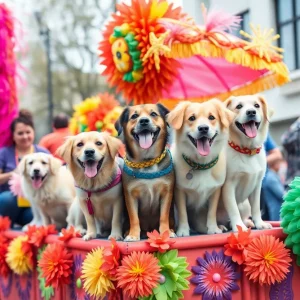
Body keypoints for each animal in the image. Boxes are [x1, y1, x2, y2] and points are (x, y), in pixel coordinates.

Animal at [115, 103, 176, 241]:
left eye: (153, 114)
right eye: (134, 116)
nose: (143, 121)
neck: (147, 161)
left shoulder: (167, 193)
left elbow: (163, 216)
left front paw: (166, 232)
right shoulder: (130, 195)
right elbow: (134, 218)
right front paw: (133, 235)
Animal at [168, 99, 233, 236]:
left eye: (211, 117)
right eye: (191, 118)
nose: (203, 128)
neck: (201, 164)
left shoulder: (215, 191)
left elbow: (211, 213)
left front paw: (213, 228)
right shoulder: (179, 191)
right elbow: (182, 213)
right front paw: (183, 231)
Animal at [221, 95, 274, 231]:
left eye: (256, 105)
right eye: (239, 106)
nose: (251, 112)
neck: (247, 150)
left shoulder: (257, 185)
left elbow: (256, 208)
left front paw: (260, 223)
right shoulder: (228, 185)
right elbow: (233, 209)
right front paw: (239, 227)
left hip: (245, 205)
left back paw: (247, 222)